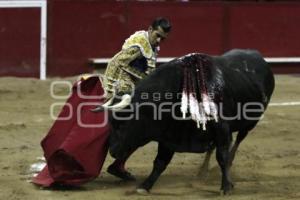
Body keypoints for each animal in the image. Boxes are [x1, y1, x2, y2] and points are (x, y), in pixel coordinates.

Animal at [99, 49, 274, 195]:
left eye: (123, 124)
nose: (112, 151)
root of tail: (259, 56)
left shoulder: (222, 129)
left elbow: (222, 157)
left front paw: (226, 187)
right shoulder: (169, 136)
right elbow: (159, 163)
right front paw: (145, 186)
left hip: (250, 123)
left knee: (237, 141)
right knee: (213, 147)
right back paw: (202, 171)